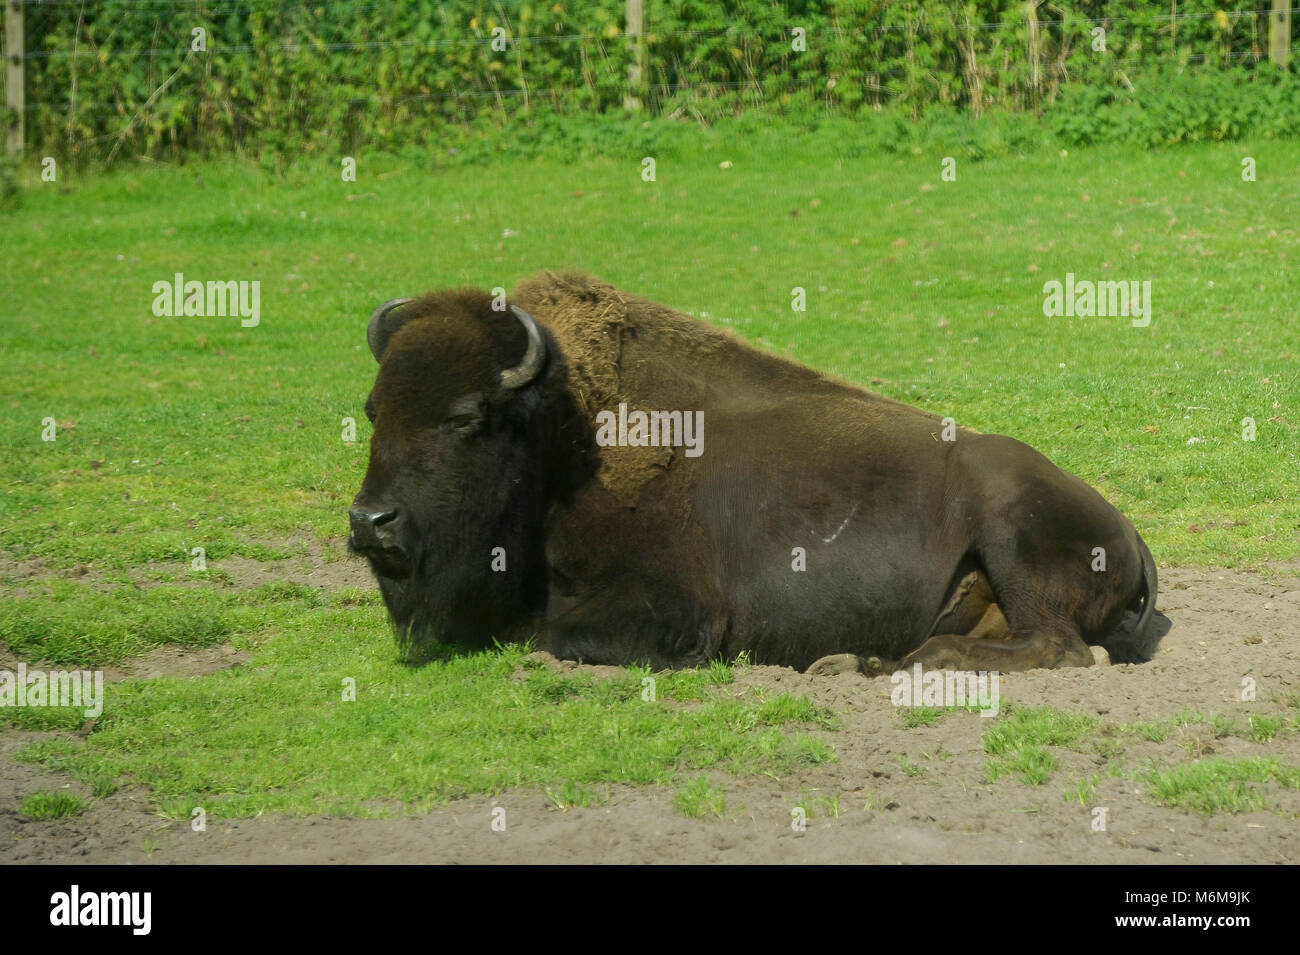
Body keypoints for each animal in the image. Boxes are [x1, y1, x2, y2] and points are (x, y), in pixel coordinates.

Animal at [348, 268, 1159, 670]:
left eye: (468, 417)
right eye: (372, 408)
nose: (370, 522)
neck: (564, 435)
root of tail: (1126, 528)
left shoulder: (676, 616)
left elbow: (549, 637)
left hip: (1011, 534)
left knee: (1061, 649)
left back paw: (894, 663)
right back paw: (862, 661)